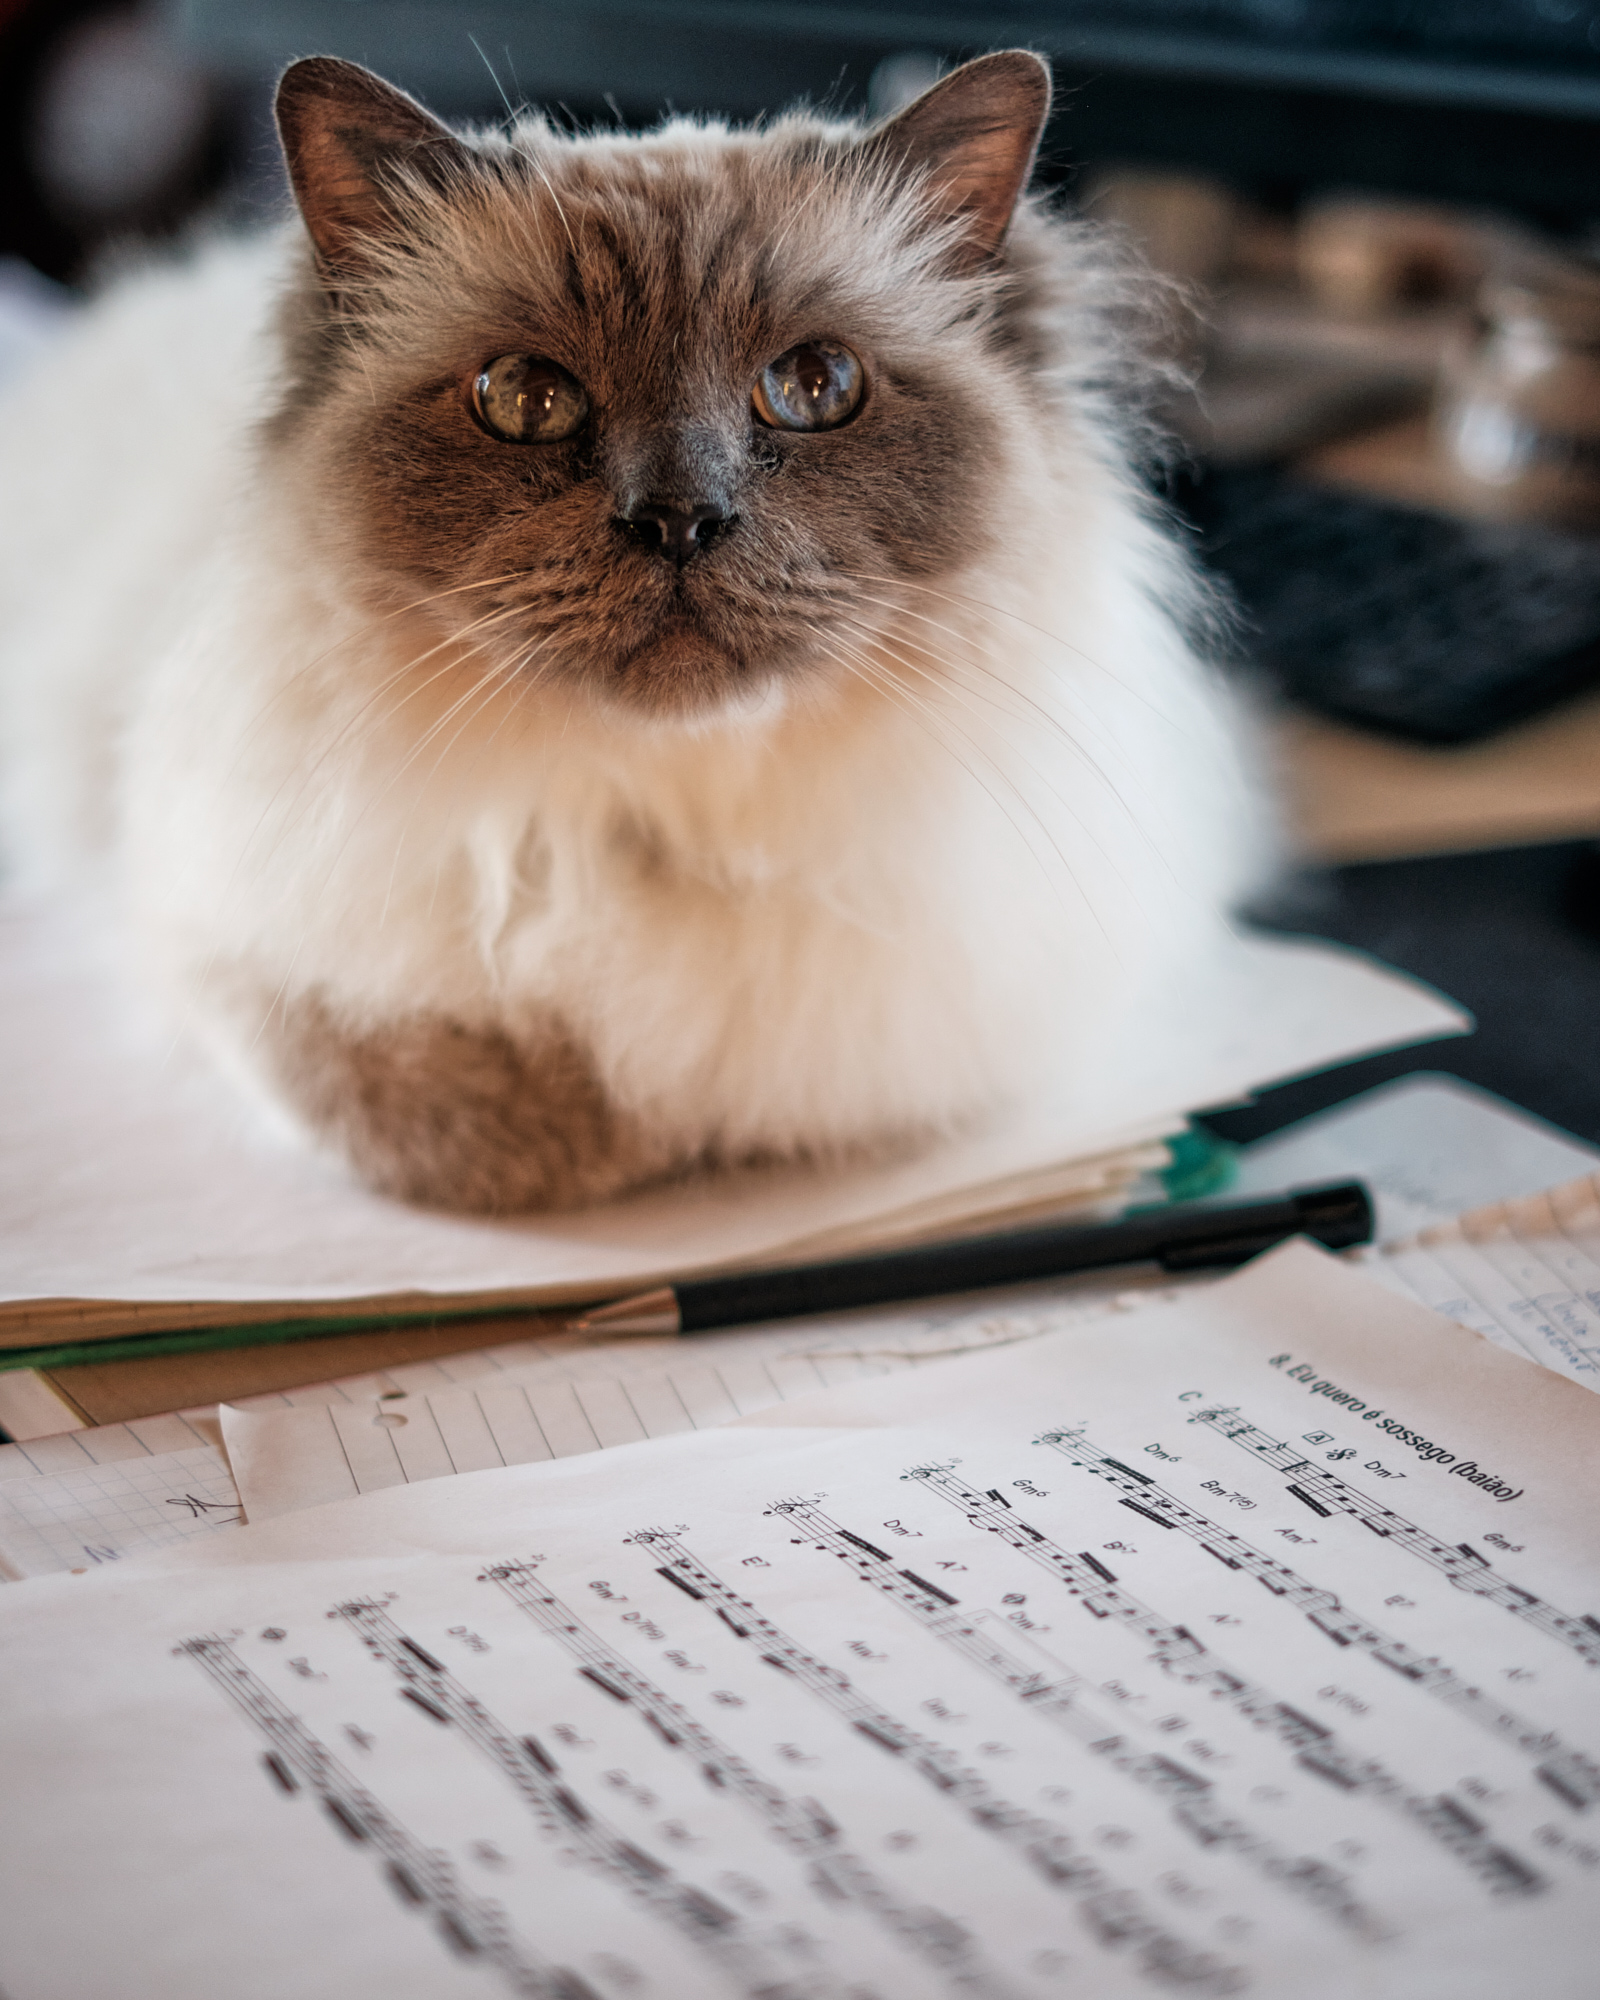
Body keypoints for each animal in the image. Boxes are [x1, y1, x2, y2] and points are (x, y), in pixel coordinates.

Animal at [0, 50, 1264, 1215]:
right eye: (524, 399)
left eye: (814, 385)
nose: (678, 520)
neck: (661, 804)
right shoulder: (213, 950)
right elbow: (442, 1110)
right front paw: (610, 1133)